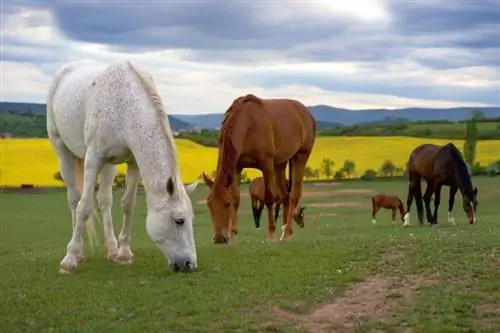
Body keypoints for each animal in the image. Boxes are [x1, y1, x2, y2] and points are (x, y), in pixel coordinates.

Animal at [45, 58, 197, 274]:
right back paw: (79, 252)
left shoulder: (133, 162)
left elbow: (127, 205)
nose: (189, 264)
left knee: (104, 200)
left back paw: (111, 249)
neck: (124, 106)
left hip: (109, 165)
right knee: (74, 199)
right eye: (179, 220)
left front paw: (124, 253)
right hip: (62, 149)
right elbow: (84, 207)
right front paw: (68, 261)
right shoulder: (93, 159)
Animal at [200, 93, 314, 244]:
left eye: (226, 204)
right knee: (285, 197)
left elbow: (269, 199)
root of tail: (307, 113)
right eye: (209, 204)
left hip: (301, 157)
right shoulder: (236, 168)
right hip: (280, 164)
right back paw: (286, 232)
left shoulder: (266, 165)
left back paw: (286, 233)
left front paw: (271, 234)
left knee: (294, 196)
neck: (249, 124)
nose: (219, 239)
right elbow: (236, 198)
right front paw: (233, 235)